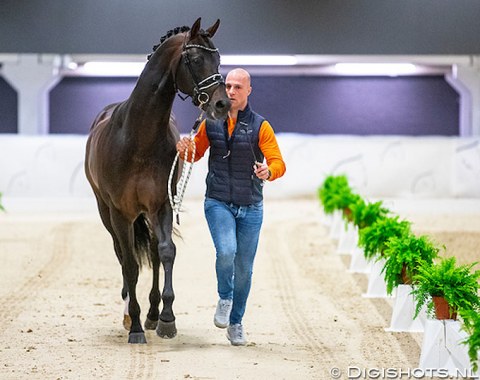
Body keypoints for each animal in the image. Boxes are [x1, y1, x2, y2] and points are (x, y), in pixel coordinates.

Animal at [84, 18, 231, 344]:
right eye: (195, 59)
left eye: (218, 59)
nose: (222, 105)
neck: (138, 137)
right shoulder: (120, 212)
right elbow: (129, 264)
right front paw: (135, 326)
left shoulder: (161, 204)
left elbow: (165, 252)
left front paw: (166, 319)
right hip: (106, 212)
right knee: (122, 255)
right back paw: (130, 313)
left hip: (147, 213)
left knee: (152, 251)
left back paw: (151, 313)